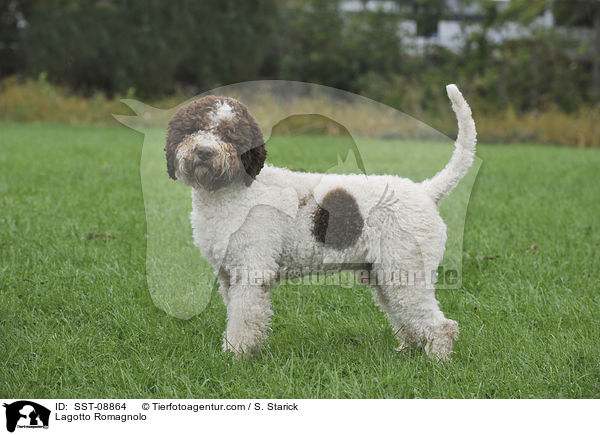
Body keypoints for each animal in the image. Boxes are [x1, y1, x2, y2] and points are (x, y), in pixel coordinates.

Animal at [166, 85, 476, 362]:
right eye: (192, 128)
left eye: (229, 133)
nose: (204, 152)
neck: (233, 190)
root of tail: (426, 191)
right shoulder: (228, 274)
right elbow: (239, 316)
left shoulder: (253, 271)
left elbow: (243, 320)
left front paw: (235, 358)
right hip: (383, 274)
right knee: (406, 318)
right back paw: (408, 351)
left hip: (405, 271)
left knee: (442, 325)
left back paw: (437, 361)